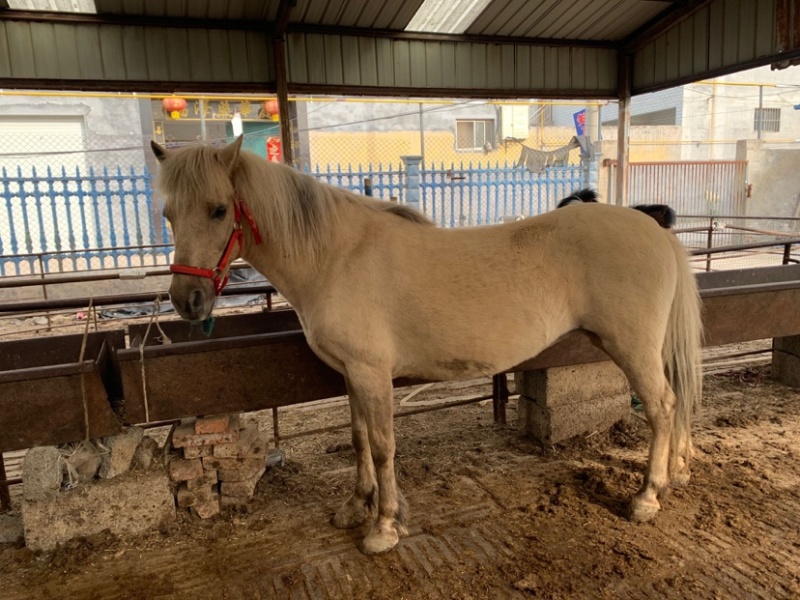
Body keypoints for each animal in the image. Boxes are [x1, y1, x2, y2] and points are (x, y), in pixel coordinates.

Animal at [151, 136, 702, 555]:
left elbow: (382, 446)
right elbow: (358, 441)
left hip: (633, 350)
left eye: (219, 210)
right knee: (673, 407)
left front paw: (383, 527)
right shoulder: (351, 374)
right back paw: (676, 472)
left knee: (662, 406)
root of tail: (654, 229)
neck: (336, 256)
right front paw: (355, 507)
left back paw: (647, 497)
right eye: (168, 213)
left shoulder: (372, 374)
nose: (187, 300)